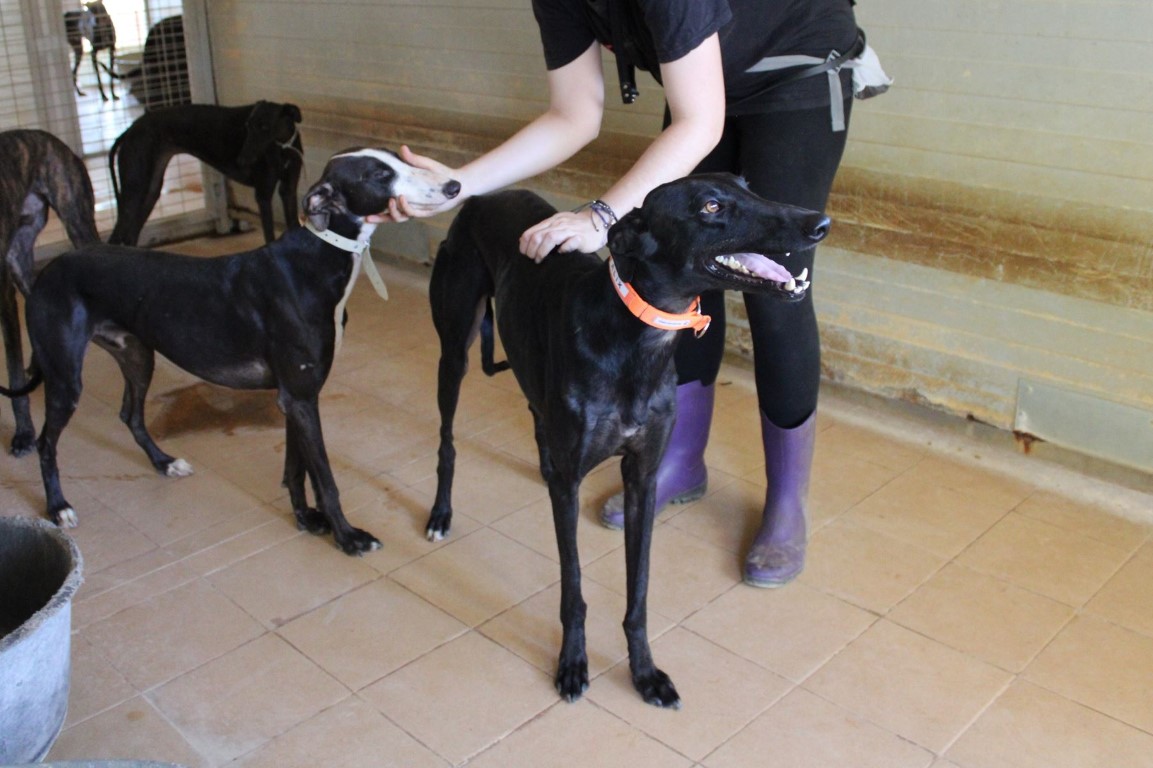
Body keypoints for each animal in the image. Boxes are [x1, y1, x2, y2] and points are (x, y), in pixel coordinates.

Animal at [108, 101, 304, 246]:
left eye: (265, 127)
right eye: (248, 126)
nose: (241, 160)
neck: (283, 146)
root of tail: (129, 130)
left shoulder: (288, 190)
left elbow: (293, 221)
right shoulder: (263, 194)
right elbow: (269, 236)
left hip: (150, 189)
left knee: (130, 236)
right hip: (135, 189)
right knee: (116, 238)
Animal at [426, 173, 829, 706]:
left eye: (749, 185)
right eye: (711, 206)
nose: (820, 223)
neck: (636, 337)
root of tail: (481, 197)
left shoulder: (642, 477)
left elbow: (638, 590)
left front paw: (645, 672)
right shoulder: (575, 482)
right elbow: (573, 586)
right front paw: (572, 664)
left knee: (537, 418)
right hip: (455, 347)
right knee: (447, 440)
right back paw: (440, 513)